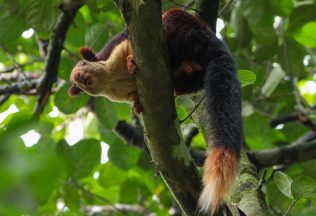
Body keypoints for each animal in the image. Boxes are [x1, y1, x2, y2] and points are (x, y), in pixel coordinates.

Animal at [69, 8, 242, 214]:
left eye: (83, 64)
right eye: (75, 84)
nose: (78, 77)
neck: (109, 79)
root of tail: (214, 45)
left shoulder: (116, 45)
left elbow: (125, 39)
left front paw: (130, 61)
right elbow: (134, 98)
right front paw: (136, 106)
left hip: (181, 30)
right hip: (193, 76)